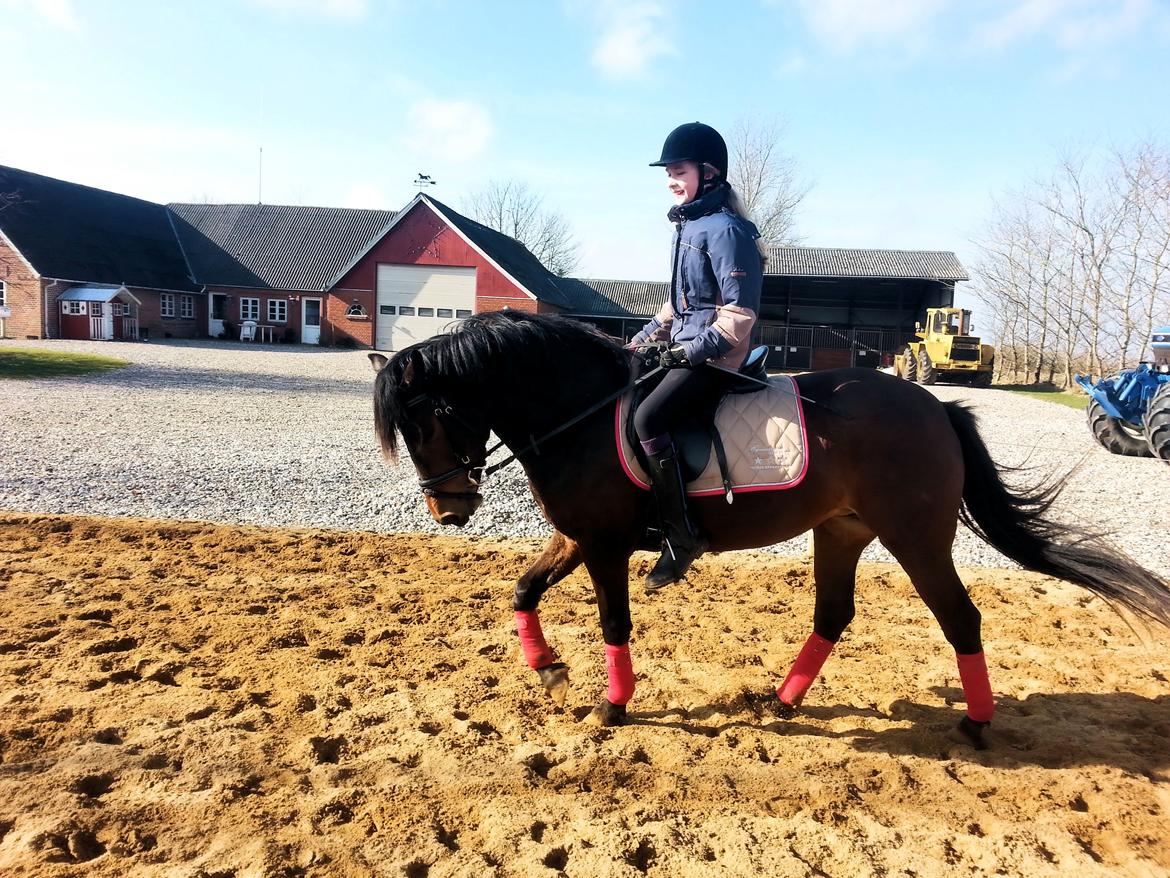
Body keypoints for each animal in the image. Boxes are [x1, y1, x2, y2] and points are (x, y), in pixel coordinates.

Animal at [369, 310, 1170, 748]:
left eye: (426, 421)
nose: (448, 512)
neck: (582, 415)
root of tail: (936, 407)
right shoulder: (575, 537)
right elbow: (522, 589)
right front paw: (545, 667)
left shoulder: (602, 546)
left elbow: (613, 623)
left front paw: (613, 705)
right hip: (843, 530)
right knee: (834, 612)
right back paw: (782, 702)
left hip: (914, 536)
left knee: (960, 617)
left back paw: (975, 724)